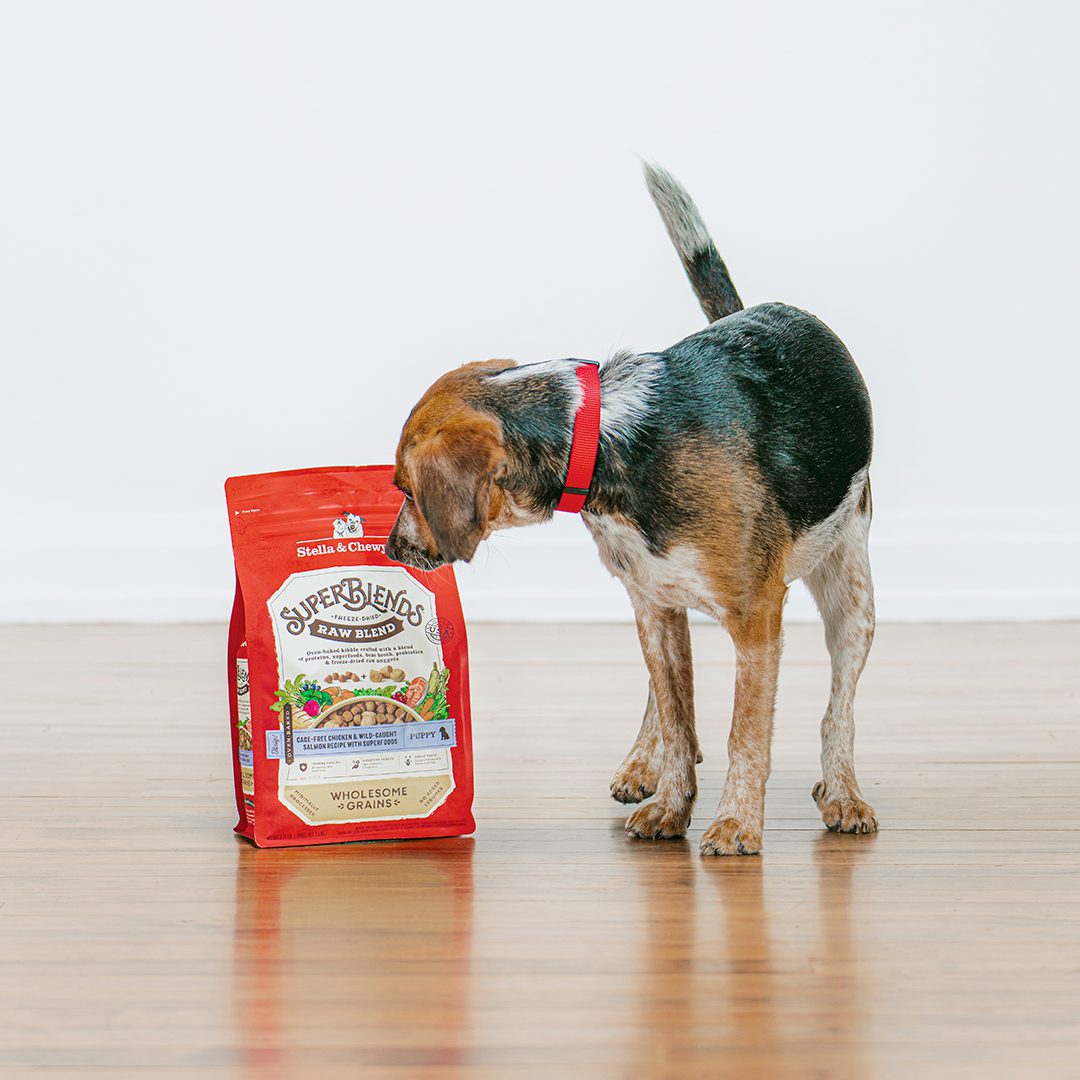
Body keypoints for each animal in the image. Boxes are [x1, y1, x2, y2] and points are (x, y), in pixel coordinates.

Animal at [384, 164, 872, 855]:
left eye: (405, 487)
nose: (392, 548)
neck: (609, 443)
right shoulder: (653, 604)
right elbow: (676, 719)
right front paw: (670, 802)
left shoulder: (757, 616)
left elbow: (747, 734)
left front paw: (736, 823)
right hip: (658, 607)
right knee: (666, 702)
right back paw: (646, 762)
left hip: (850, 591)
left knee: (840, 708)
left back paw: (844, 793)